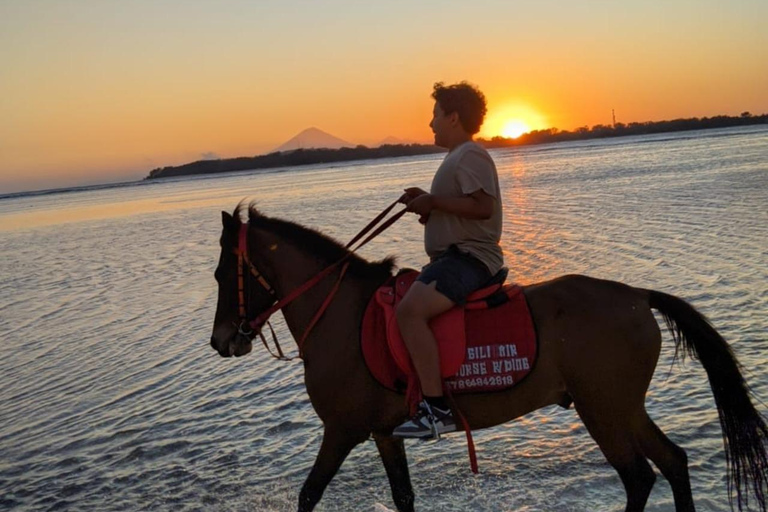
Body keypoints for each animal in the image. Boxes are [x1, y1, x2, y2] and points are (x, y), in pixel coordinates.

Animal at [208, 204, 768, 512]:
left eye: (219, 275)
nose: (221, 340)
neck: (342, 314)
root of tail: (636, 295)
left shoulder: (342, 431)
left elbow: (308, 495)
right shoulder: (384, 433)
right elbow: (404, 497)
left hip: (603, 410)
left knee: (639, 477)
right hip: (623, 406)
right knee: (672, 463)